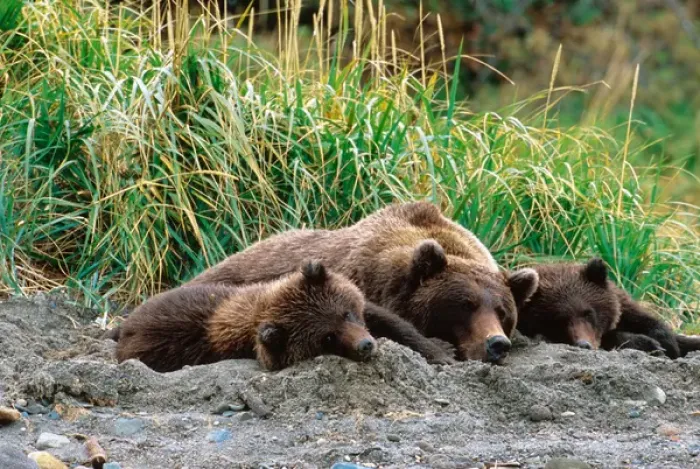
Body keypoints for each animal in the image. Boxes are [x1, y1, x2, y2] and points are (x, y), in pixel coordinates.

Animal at [516, 257, 700, 359]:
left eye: (589, 313)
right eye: (557, 321)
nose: (584, 344)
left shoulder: (623, 307)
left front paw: (669, 343)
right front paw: (651, 345)